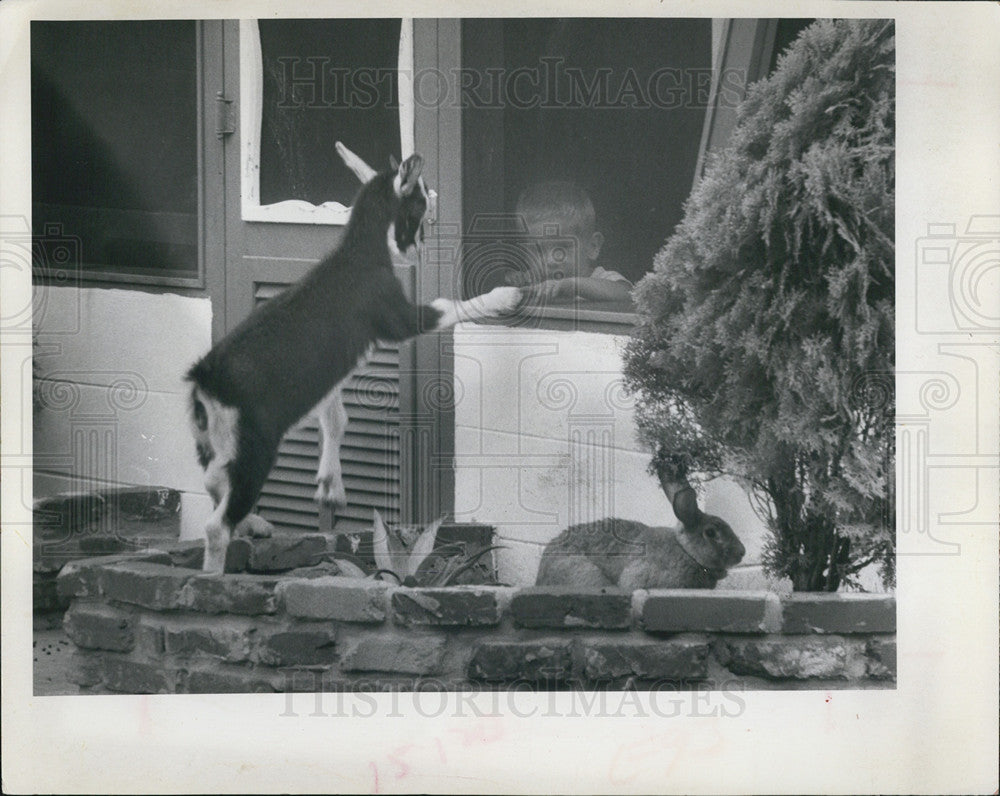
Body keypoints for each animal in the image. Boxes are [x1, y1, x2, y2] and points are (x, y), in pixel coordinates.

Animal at [187, 145, 524, 572]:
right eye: (419, 205)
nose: (419, 249)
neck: (359, 252)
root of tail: (207, 377)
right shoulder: (398, 317)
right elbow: (450, 306)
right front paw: (505, 296)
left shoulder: (329, 371)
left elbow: (336, 418)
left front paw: (330, 487)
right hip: (254, 446)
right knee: (217, 521)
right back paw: (216, 571)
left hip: (212, 443)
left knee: (215, 483)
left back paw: (256, 523)